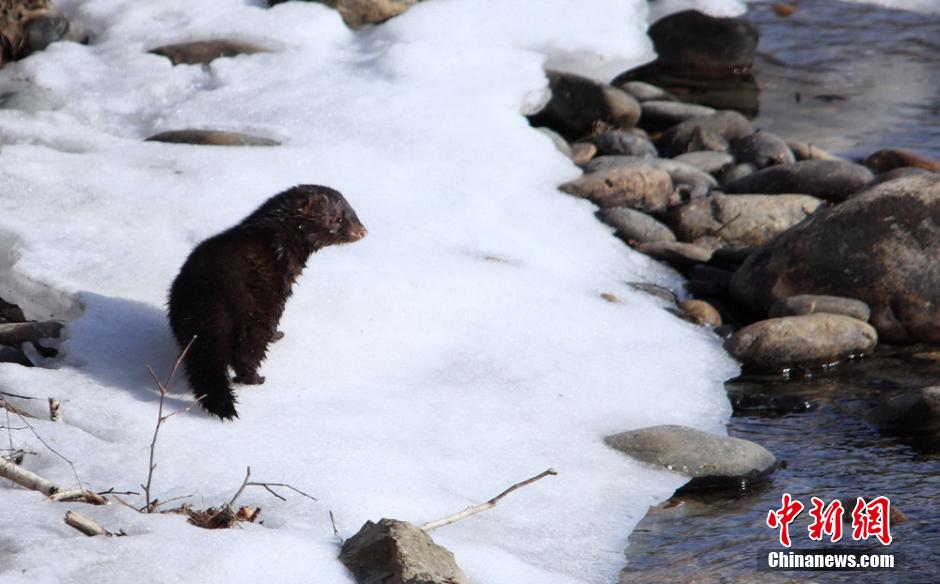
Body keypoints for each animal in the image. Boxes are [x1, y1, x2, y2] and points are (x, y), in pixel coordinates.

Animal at [167, 185, 367, 420]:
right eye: (338, 219)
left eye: (353, 211)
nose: (363, 231)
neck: (274, 240)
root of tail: (209, 298)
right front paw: (278, 334)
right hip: (253, 316)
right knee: (246, 356)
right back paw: (256, 378)